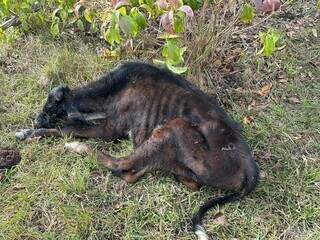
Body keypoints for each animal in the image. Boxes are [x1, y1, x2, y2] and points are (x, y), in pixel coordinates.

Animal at [16, 61, 258, 238]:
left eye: (49, 106)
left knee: (123, 166)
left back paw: (77, 148)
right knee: (144, 172)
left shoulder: (110, 129)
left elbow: (65, 129)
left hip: (172, 128)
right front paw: (28, 132)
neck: (114, 89)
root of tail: (251, 170)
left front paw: (29, 133)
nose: (37, 120)